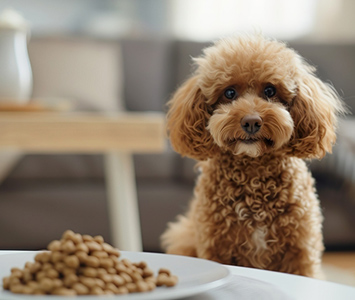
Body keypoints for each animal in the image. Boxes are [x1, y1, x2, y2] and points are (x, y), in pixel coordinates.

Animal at [161, 34, 344, 278]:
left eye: (270, 91)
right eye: (229, 93)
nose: (251, 122)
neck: (254, 174)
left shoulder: (300, 251)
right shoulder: (216, 247)